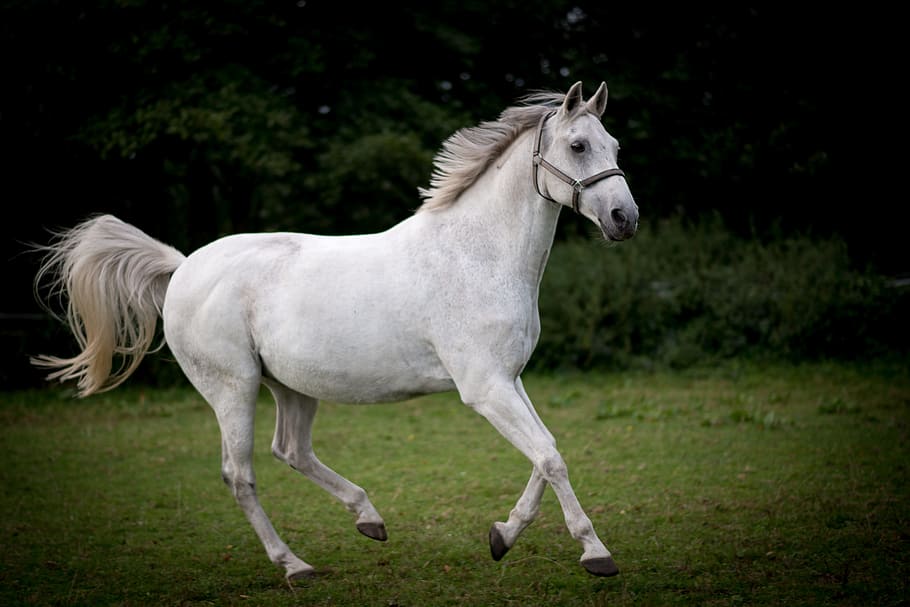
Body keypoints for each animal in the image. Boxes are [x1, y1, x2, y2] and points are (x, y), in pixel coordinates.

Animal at [31, 81, 638, 581]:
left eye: (614, 146)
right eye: (578, 146)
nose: (624, 219)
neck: (476, 256)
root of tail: (182, 268)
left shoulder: (509, 381)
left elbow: (545, 453)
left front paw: (502, 537)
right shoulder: (485, 388)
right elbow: (550, 457)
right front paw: (595, 554)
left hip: (291, 387)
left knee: (291, 451)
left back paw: (369, 519)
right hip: (232, 388)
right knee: (240, 474)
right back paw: (294, 565)